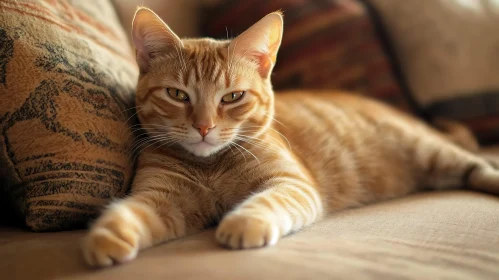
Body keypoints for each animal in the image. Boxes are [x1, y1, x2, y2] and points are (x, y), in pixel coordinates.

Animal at [82, 8, 499, 266]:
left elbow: (267, 201)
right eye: (177, 95)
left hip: (431, 151)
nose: (203, 127)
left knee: (478, 165)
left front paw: (242, 222)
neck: (210, 164)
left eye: (232, 97)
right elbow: (133, 211)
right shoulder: (161, 196)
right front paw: (107, 235)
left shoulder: (290, 183)